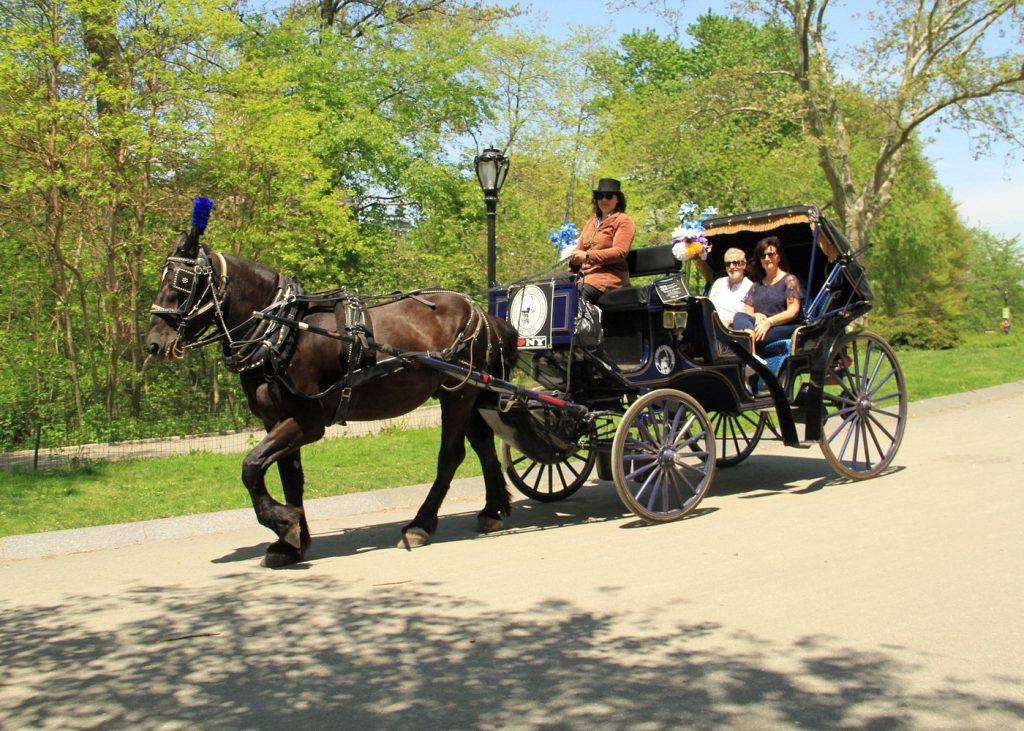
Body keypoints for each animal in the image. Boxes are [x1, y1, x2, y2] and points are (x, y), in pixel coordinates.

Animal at [144, 219, 520, 565]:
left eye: (181, 282)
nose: (154, 343)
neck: (282, 331)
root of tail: (481, 313)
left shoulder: (307, 422)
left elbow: (251, 466)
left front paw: (283, 522)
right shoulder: (276, 420)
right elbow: (288, 476)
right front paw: (292, 541)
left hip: (458, 395)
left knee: (451, 455)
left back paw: (420, 525)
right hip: (466, 393)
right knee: (483, 443)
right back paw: (492, 509)